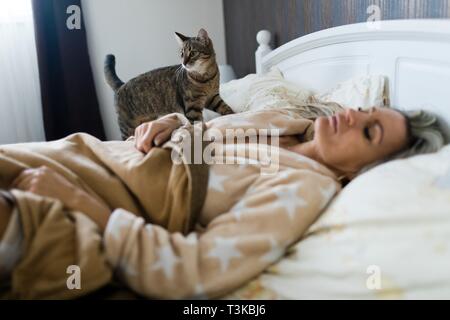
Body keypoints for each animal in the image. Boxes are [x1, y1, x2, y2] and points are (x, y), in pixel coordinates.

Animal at [103, 28, 234, 140]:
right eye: (182, 54)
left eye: (193, 53)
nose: (183, 63)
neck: (206, 77)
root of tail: (121, 85)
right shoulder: (192, 106)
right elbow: (198, 123)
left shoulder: (212, 97)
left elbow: (225, 107)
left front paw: (234, 114)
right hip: (127, 126)